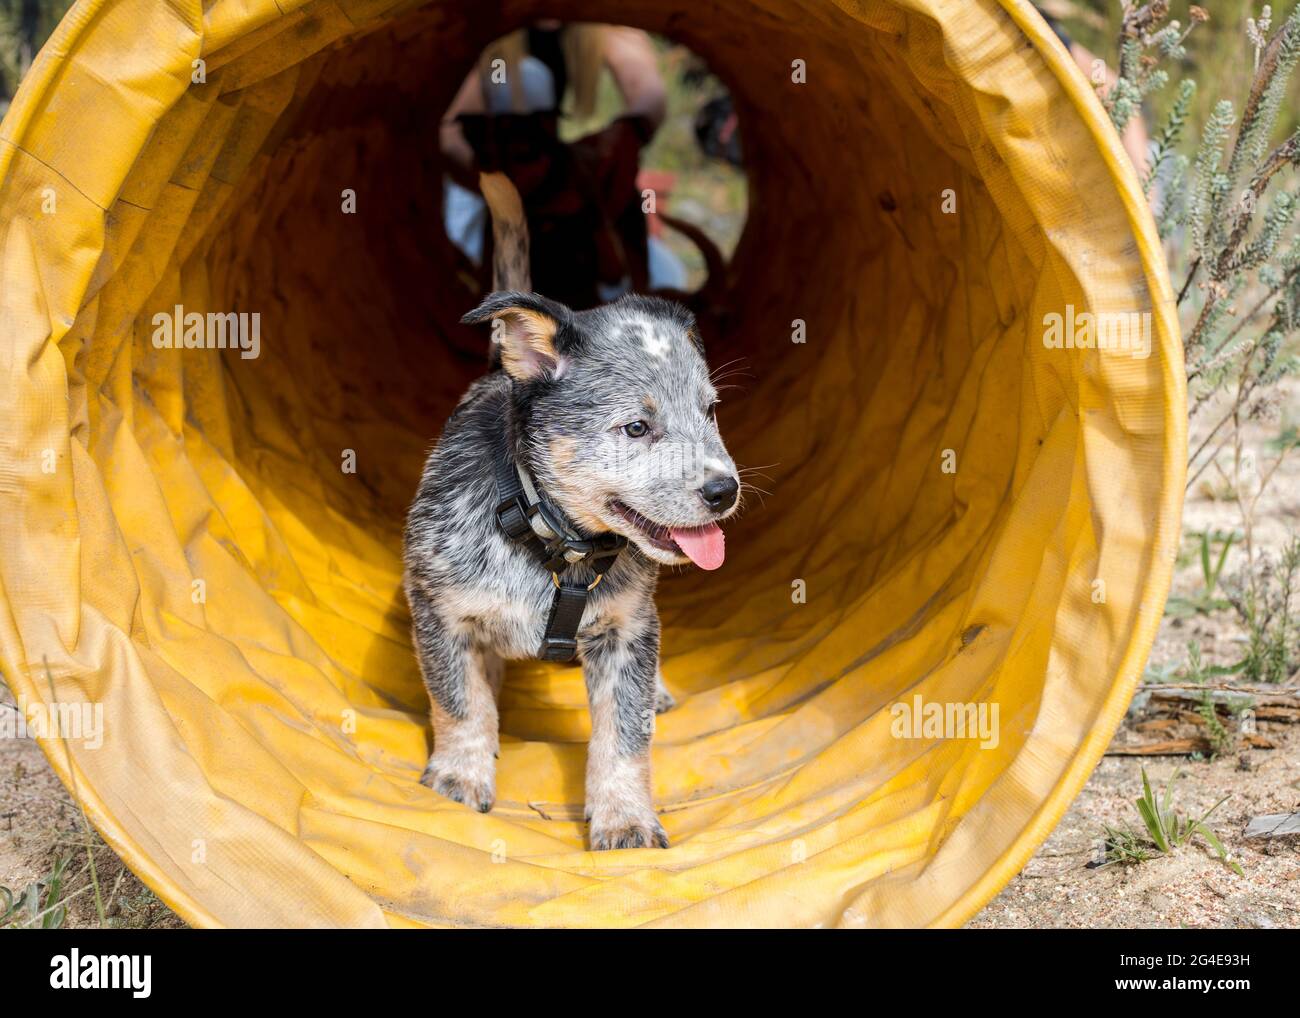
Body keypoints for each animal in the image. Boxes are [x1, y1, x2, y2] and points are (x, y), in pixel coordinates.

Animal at [400, 175, 743, 852]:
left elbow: (625, 736)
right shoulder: (437, 608)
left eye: (710, 411)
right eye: (636, 428)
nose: (726, 490)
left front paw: (625, 817)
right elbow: (458, 700)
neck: (558, 548)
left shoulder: (625, 633)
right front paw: (459, 777)